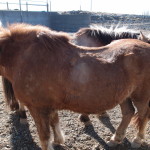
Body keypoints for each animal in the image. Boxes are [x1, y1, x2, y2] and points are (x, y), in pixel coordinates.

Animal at [0, 23, 150, 150]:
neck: (23, 57)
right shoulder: (48, 105)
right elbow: (54, 121)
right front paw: (58, 140)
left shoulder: (38, 108)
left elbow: (44, 137)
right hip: (124, 96)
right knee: (128, 112)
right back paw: (115, 139)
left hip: (141, 96)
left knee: (143, 114)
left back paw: (137, 140)